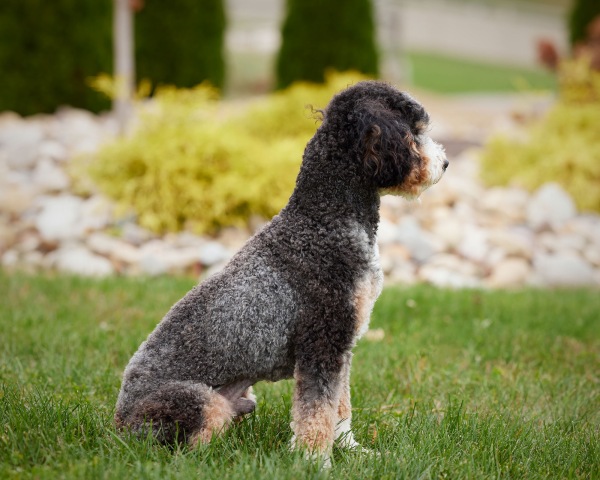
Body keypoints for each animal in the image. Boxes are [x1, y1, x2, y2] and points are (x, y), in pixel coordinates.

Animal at [115, 80, 448, 464]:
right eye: (414, 131)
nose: (445, 162)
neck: (321, 220)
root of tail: (118, 424)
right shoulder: (321, 343)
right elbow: (316, 410)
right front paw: (315, 461)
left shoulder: (341, 348)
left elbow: (339, 407)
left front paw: (352, 449)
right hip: (197, 400)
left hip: (244, 397)